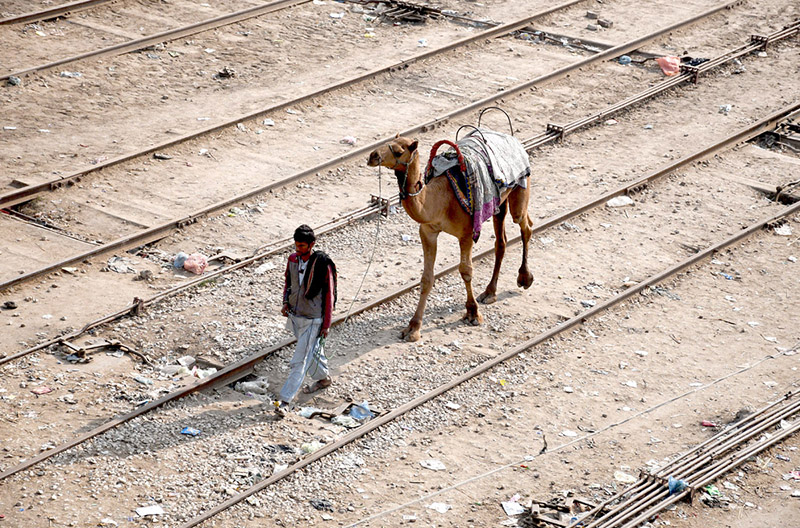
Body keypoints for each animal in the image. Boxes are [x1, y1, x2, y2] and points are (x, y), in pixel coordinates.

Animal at [368, 132, 532, 342]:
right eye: (386, 142)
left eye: (398, 151)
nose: (372, 156)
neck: (440, 200)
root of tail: (513, 139)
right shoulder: (428, 231)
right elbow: (427, 278)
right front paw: (413, 328)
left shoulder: (467, 233)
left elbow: (466, 271)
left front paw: (473, 313)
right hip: (499, 205)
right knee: (501, 241)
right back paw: (489, 292)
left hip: (521, 187)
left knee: (525, 225)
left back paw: (525, 278)